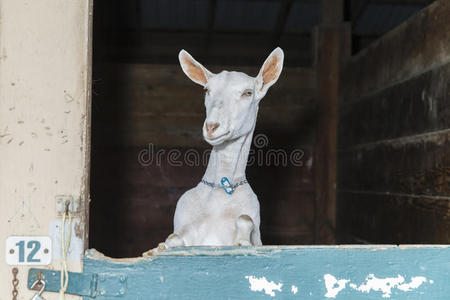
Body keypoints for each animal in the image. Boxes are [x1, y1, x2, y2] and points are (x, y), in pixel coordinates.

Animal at [144, 47, 284, 255]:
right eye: (206, 90)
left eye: (248, 92)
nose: (211, 127)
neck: (220, 192)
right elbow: (174, 237)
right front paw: (157, 248)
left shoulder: (256, 231)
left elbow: (245, 219)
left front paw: (242, 241)